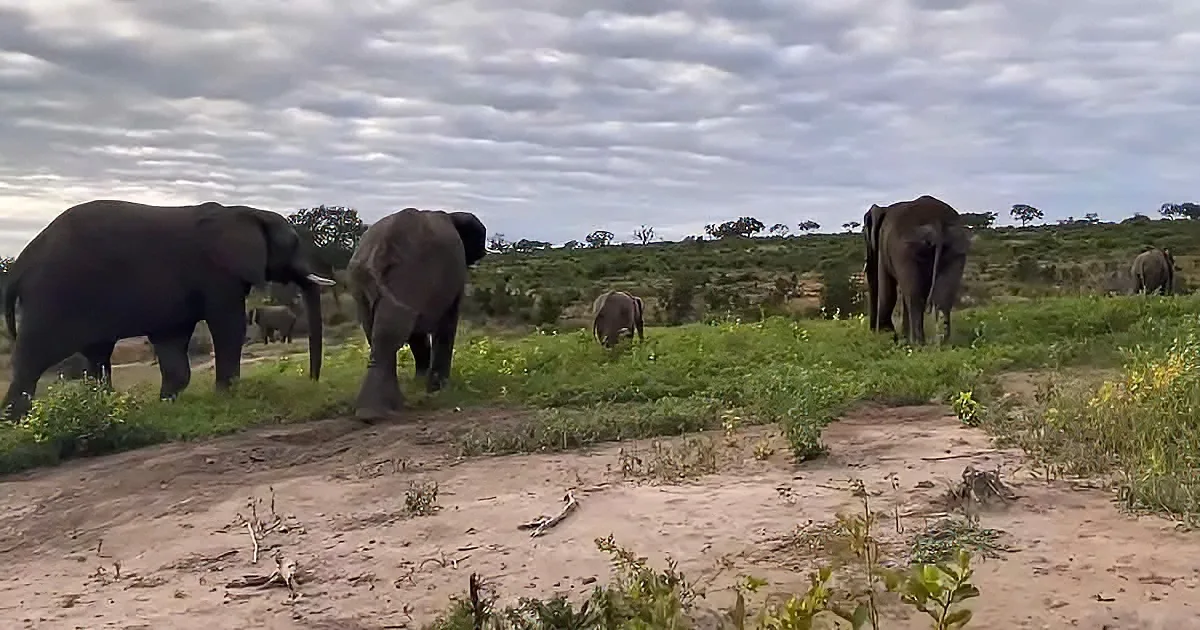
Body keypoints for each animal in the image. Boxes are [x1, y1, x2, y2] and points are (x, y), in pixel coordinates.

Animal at [1, 199, 334, 419]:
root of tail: (19, 266)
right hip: (54, 296)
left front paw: (165, 406)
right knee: (33, 357)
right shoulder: (217, 274)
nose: (312, 382)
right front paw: (226, 397)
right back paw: (15, 422)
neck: (243, 211)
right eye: (293, 243)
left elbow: (172, 341)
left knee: (97, 356)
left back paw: (104, 408)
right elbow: (229, 326)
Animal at [346, 207, 487, 421]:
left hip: (363, 281)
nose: (485, 253)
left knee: (379, 331)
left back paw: (373, 411)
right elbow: (447, 322)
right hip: (412, 273)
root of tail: (382, 247)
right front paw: (438, 389)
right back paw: (376, 412)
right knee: (392, 330)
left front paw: (421, 382)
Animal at [863, 195, 971, 345]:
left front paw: (890, 337)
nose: (873, 332)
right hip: (956, 246)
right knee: (942, 297)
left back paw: (918, 344)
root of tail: (937, 221)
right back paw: (941, 343)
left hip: (905, 249)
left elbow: (887, 291)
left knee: (914, 297)